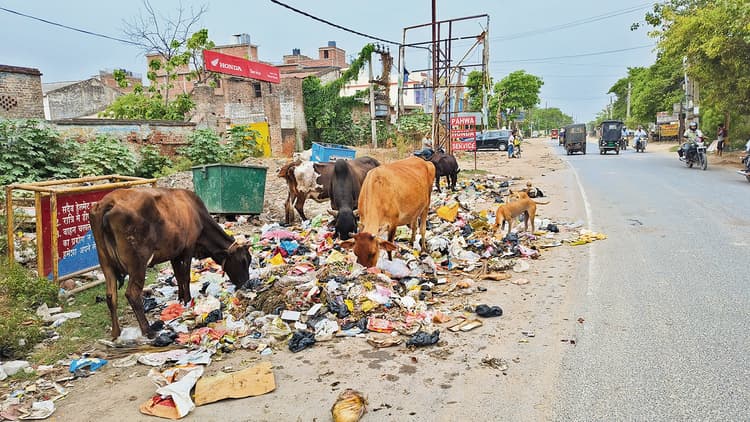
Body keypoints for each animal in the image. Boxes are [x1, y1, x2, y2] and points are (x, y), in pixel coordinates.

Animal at [89, 188, 252, 339]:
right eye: (243, 260)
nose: (246, 283)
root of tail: (108, 201)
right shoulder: (188, 248)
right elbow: (185, 276)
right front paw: (187, 300)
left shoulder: (175, 253)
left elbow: (178, 276)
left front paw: (180, 299)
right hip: (138, 263)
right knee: (132, 294)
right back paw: (148, 331)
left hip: (105, 263)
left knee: (111, 296)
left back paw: (116, 332)